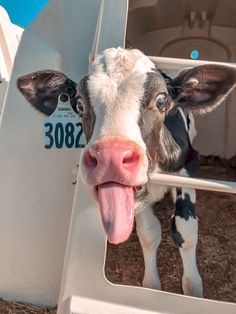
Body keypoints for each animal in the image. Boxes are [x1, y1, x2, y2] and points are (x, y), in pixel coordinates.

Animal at [17, 48, 236, 296]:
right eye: (79, 104)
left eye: (162, 100)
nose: (110, 157)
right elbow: (149, 233)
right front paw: (151, 286)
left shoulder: (189, 165)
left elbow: (185, 231)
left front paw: (193, 291)